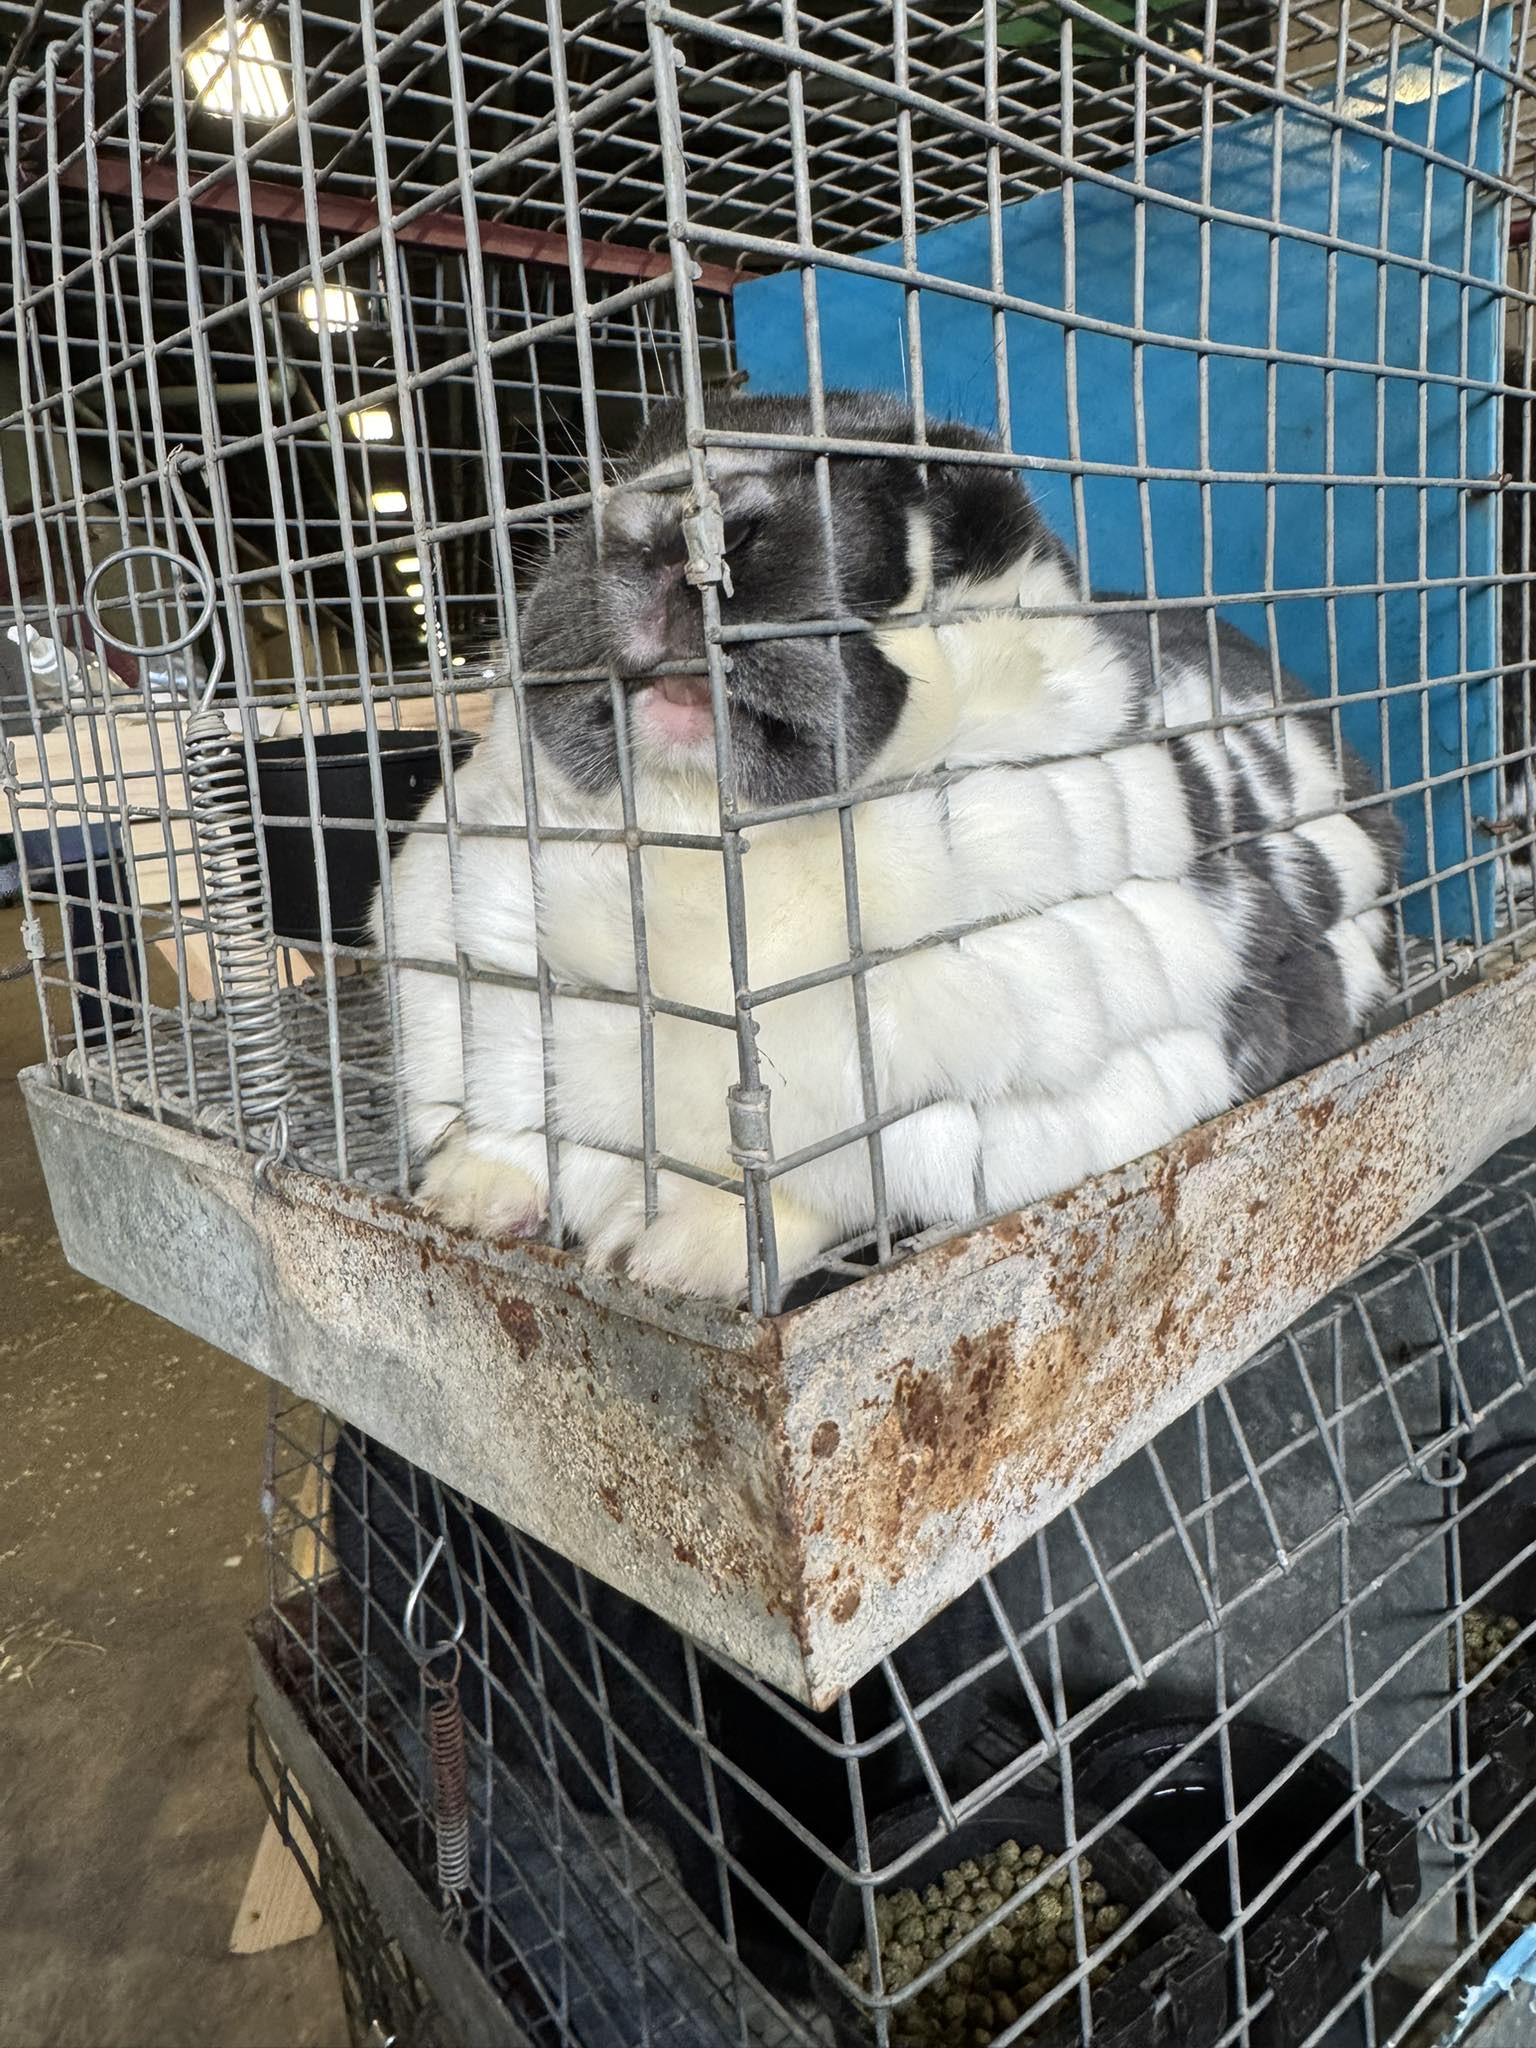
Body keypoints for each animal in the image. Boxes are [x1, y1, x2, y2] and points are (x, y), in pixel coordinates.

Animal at [382, 391, 1398, 1302]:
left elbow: (803, 1197)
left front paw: (662, 1257)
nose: (678, 527)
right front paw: (463, 1199)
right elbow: (530, 1134)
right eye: (637, 458)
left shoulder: (943, 1121)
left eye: (923, 514)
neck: (703, 826)